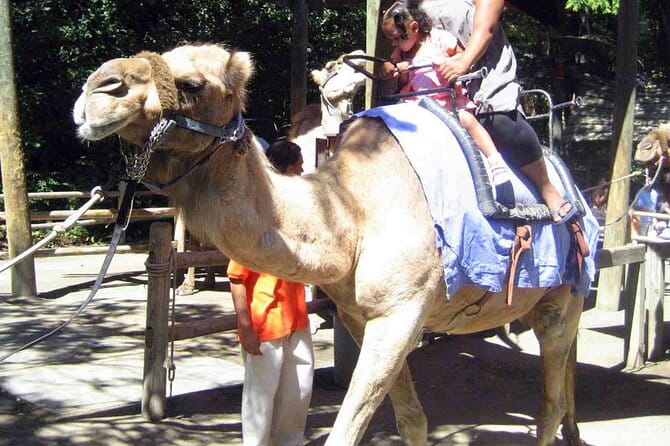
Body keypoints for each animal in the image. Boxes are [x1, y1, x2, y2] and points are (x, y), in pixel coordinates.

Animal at [74, 43, 587, 446]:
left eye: (193, 83)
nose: (97, 89)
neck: (349, 216)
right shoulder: (361, 317)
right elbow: (412, 420)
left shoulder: (401, 314)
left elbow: (347, 430)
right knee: (564, 374)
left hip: (564, 293)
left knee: (550, 394)